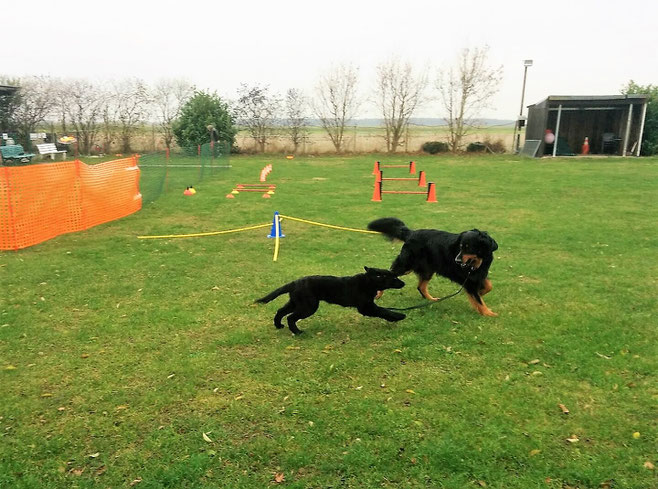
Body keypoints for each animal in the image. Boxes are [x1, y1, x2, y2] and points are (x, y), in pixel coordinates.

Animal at [255, 264, 404, 334]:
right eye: (394, 278)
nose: (403, 283)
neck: (369, 282)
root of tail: (294, 283)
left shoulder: (367, 306)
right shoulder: (366, 307)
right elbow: (383, 311)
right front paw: (399, 316)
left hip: (296, 303)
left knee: (280, 311)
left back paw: (278, 325)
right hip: (308, 306)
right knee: (291, 317)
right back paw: (298, 332)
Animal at [364, 217, 498, 316]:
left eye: (468, 248)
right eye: (460, 247)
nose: (457, 260)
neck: (478, 262)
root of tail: (412, 233)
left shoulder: (478, 275)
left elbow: (488, 286)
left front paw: (482, 294)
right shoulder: (469, 280)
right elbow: (479, 300)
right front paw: (488, 313)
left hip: (427, 269)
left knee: (420, 287)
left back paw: (431, 299)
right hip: (406, 265)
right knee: (390, 273)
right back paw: (379, 293)